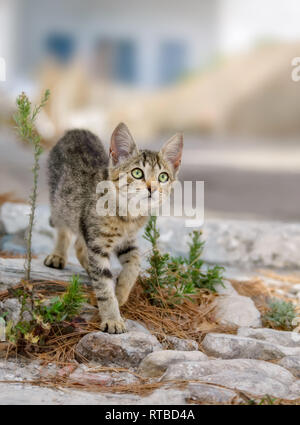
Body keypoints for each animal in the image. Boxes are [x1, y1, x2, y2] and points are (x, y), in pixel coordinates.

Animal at [44, 122, 183, 332]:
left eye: (163, 177)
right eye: (137, 173)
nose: (152, 188)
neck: (128, 215)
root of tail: (75, 130)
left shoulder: (128, 241)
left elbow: (134, 264)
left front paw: (121, 293)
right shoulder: (98, 245)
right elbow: (104, 286)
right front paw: (112, 318)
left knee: (79, 246)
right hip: (60, 203)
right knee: (64, 231)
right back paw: (58, 255)